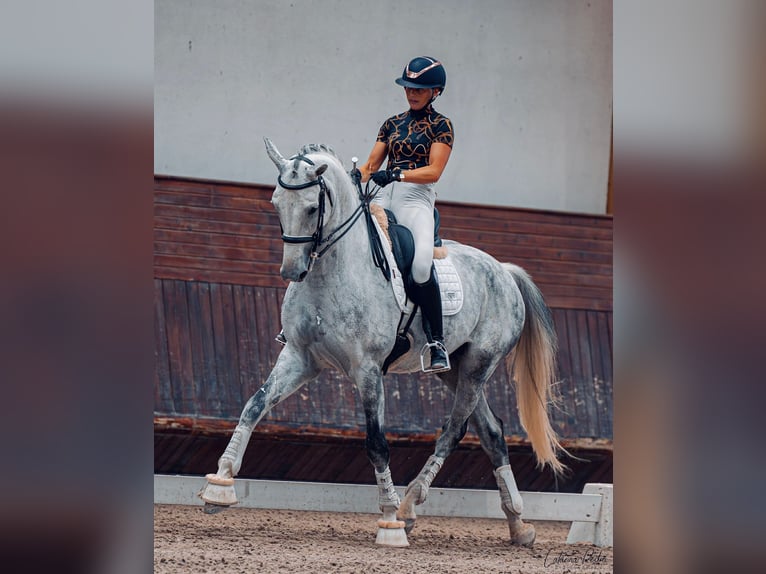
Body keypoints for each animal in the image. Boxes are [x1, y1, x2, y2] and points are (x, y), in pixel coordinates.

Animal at [199, 139, 566, 547]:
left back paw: (408, 507)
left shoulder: (368, 369)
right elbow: (254, 404)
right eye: (276, 202)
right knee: (492, 432)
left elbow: (376, 442)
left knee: (454, 430)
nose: (291, 271)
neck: (333, 270)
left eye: (312, 208)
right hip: (454, 369)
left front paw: (389, 519)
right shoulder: (299, 357)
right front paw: (219, 486)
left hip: (478, 365)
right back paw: (518, 524)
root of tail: (503, 270)